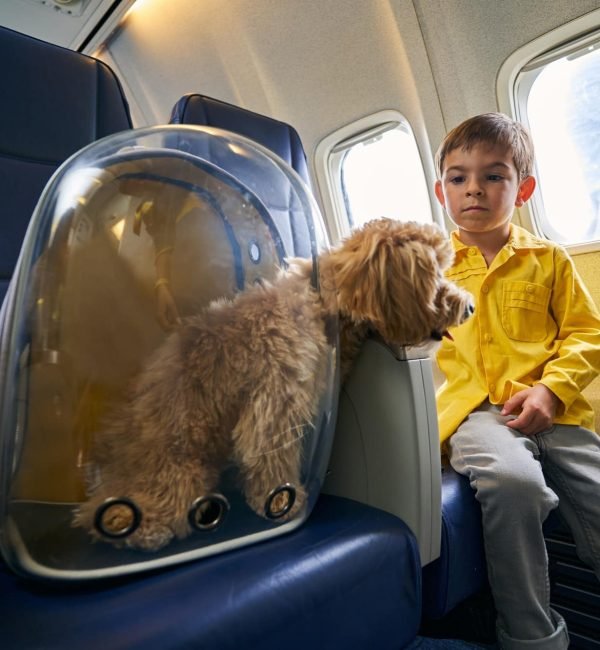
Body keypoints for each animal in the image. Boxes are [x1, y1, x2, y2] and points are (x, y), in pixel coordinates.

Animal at [74, 216, 474, 548]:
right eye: (435, 276)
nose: (469, 306)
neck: (325, 304)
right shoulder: (275, 402)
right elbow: (270, 456)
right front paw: (282, 501)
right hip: (179, 469)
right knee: (125, 515)